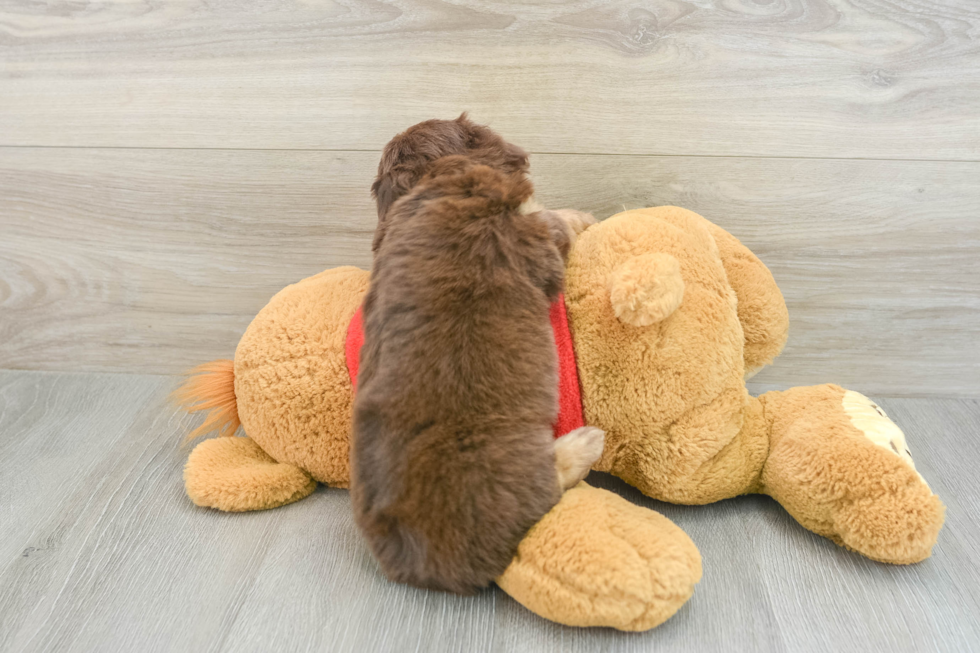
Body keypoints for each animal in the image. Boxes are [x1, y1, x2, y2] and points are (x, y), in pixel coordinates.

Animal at [352, 153, 596, 592]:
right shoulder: (534, 236)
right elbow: (556, 220)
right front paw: (585, 217)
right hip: (511, 467)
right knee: (547, 487)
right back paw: (584, 445)